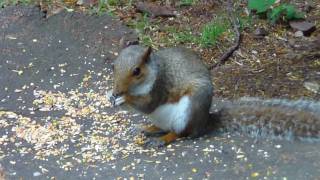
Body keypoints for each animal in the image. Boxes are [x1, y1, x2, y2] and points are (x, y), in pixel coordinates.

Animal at [109, 44, 320, 146]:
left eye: (137, 71)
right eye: (113, 66)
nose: (117, 90)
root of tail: (205, 122)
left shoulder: (159, 86)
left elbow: (148, 105)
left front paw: (124, 98)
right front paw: (111, 96)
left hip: (188, 111)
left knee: (181, 133)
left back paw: (163, 140)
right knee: (164, 127)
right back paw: (148, 128)